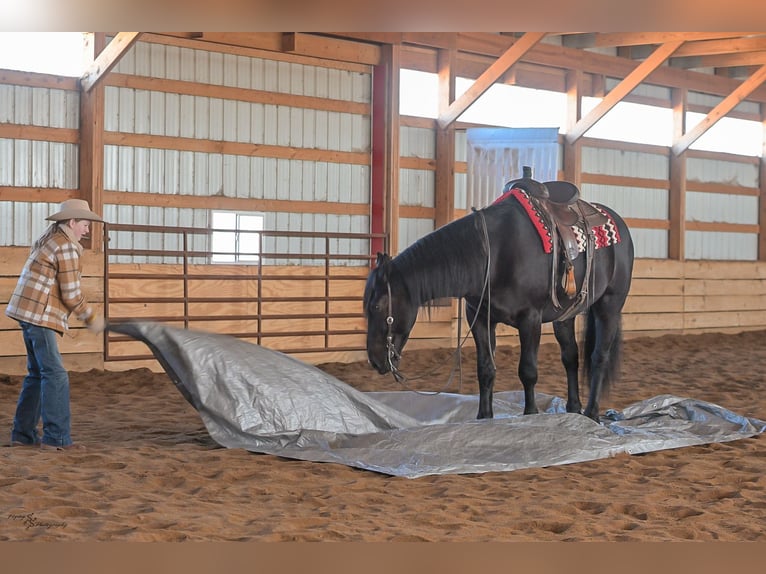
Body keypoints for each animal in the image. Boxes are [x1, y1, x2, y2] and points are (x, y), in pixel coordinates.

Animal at [363, 179, 634, 422]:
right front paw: (484, 416)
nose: (375, 361)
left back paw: (592, 413)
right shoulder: (480, 319)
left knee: (599, 356)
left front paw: (530, 414)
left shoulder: (530, 319)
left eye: (377, 306)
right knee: (570, 357)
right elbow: (485, 369)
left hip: (609, 306)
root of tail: (617, 222)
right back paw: (574, 408)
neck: (494, 254)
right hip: (565, 316)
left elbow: (528, 371)